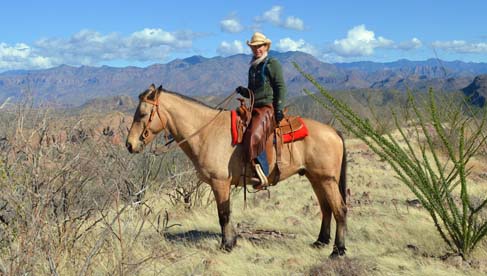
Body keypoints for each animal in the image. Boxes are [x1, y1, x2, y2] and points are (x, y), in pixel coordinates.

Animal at [125, 83, 346, 256]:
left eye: (142, 114)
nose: (129, 144)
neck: (206, 132)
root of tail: (333, 131)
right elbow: (226, 213)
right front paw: (231, 242)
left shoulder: (220, 183)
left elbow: (224, 214)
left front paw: (227, 245)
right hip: (315, 178)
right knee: (326, 208)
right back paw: (320, 242)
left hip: (326, 179)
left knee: (339, 209)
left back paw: (338, 250)